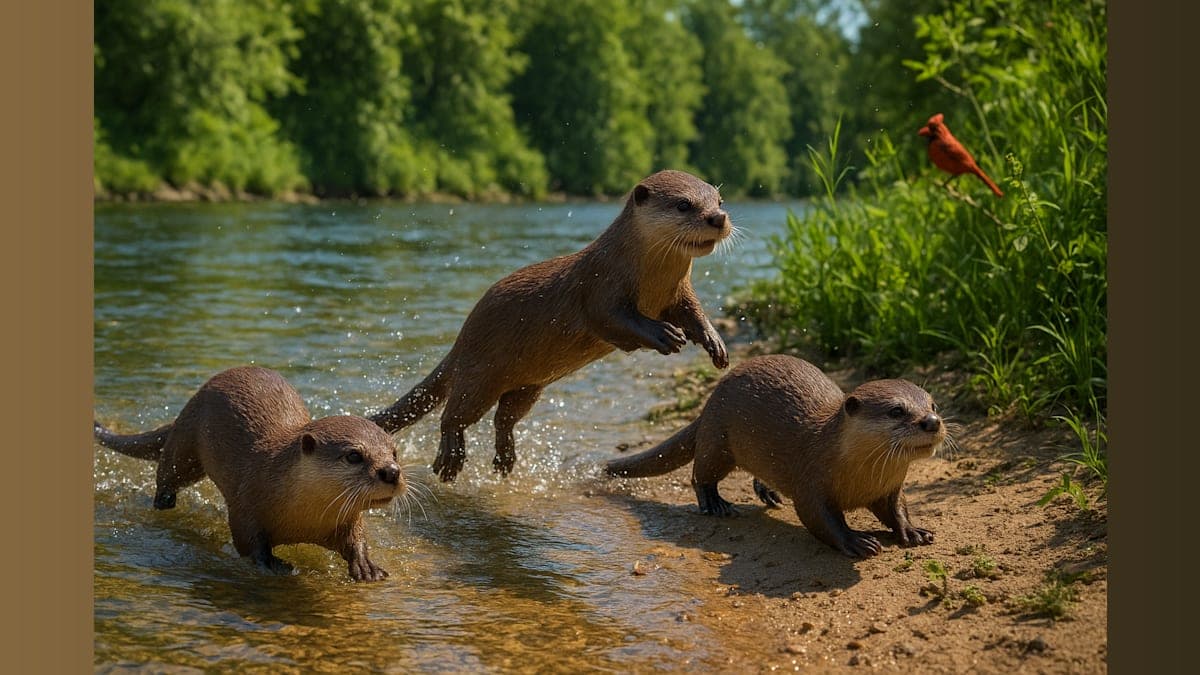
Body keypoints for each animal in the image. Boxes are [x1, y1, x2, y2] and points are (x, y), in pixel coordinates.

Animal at [94, 366, 406, 581]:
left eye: (394, 453)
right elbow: (249, 542)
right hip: (185, 444)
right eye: (354, 455)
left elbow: (356, 539)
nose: (391, 472)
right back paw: (163, 503)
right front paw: (272, 564)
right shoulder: (246, 506)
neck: (302, 520)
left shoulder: (347, 519)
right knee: (169, 473)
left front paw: (366, 566)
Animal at [370, 169, 733, 482]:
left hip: (527, 387)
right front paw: (664, 334)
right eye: (684, 204)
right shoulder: (600, 288)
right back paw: (450, 459)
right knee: (454, 415)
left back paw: (504, 459)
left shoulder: (680, 293)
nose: (718, 218)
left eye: (719, 200)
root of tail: (461, 340)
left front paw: (714, 342)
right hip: (479, 373)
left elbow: (694, 314)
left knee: (504, 418)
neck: (650, 280)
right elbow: (613, 320)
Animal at [606, 355, 946, 557]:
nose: (932, 422)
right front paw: (856, 541)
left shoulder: (889, 488)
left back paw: (767, 492)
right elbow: (819, 518)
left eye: (933, 405)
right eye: (897, 410)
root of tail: (710, 400)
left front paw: (912, 530)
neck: (860, 478)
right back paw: (716, 504)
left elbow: (897, 508)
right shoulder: (810, 480)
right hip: (718, 439)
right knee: (700, 474)